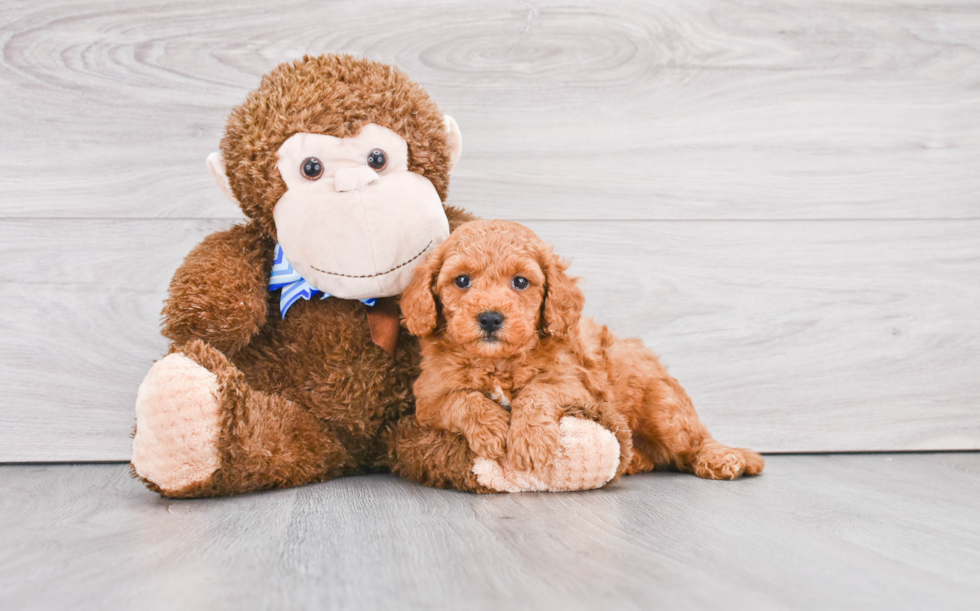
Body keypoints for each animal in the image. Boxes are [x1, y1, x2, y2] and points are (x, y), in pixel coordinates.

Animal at [400, 220, 764, 482]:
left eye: (520, 282)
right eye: (462, 281)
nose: (490, 318)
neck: (498, 362)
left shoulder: (577, 387)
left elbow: (537, 390)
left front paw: (530, 441)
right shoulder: (428, 398)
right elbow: (463, 399)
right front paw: (492, 429)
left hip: (664, 409)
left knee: (695, 441)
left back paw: (723, 458)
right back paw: (635, 460)